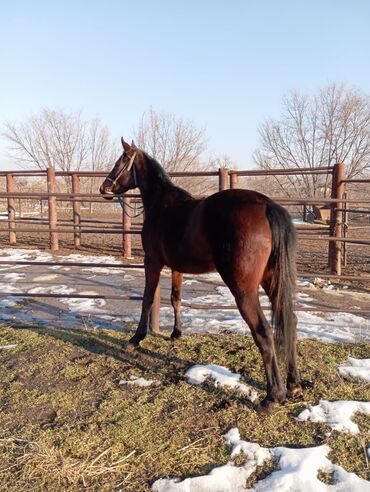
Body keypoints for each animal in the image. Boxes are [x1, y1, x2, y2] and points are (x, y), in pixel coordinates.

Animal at [99, 138, 302, 412]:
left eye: (120, 161)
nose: (104, 187)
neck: (162, 205)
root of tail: (266, 206)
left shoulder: (152, 262)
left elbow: (147, 300)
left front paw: (136, 339)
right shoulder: (177, 267)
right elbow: (175, 298)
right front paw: (176, 333)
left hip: (244, 288)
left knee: (263, 331)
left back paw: (273, 396)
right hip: (272, 280)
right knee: (290, 320)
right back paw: (294, 385)